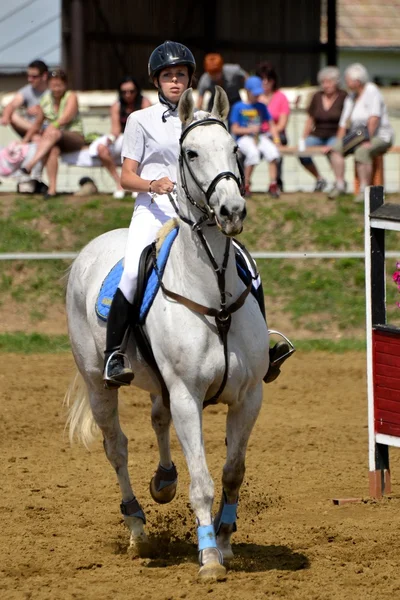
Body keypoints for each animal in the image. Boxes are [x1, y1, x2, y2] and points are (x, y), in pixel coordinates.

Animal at [66, 89, 268, 580]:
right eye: (191, 152)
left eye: (235, 148)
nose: (232, 212)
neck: (213, 293)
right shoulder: (187, 396)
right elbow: (203, 481)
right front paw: (210, 558)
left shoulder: (249, 396)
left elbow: (233, 471)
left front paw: (226, 541)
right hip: (99, 385)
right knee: (116, 448)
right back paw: (138, 528)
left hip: (160, 388)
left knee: (157, 422)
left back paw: (163, 481)